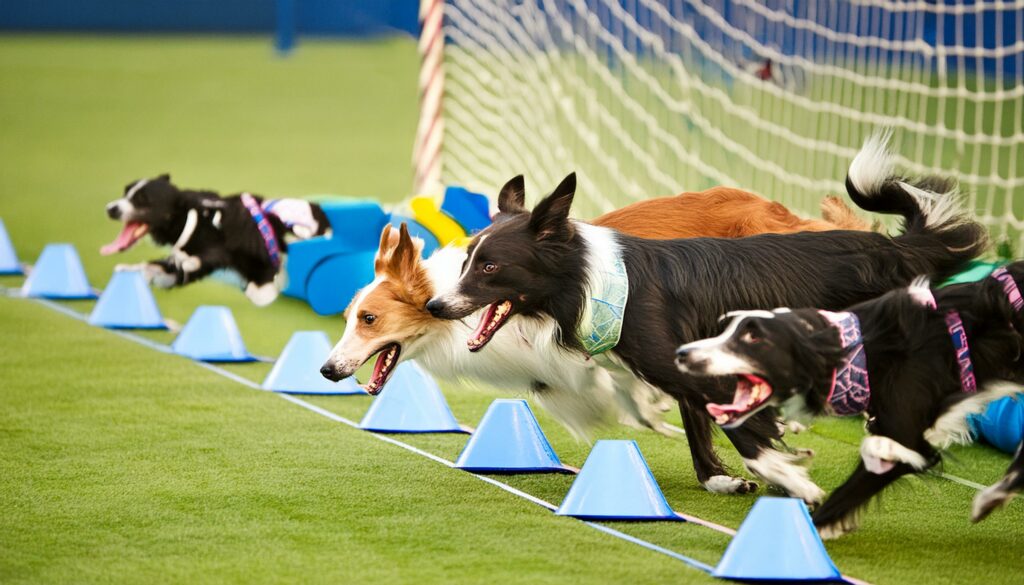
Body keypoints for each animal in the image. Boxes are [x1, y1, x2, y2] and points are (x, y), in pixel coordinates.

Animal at [102, 175, 329, 307]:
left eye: (142, 200)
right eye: (126, 192)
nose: (111, 208)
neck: (192, 219)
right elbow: (158, 266)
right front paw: (128, 270)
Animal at [675, 262, 1024, 536]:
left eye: (752, 337)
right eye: (725, 330)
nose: (681, 353)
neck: (863, 351)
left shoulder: (907, 437)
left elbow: (845, 494)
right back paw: (992, 498)